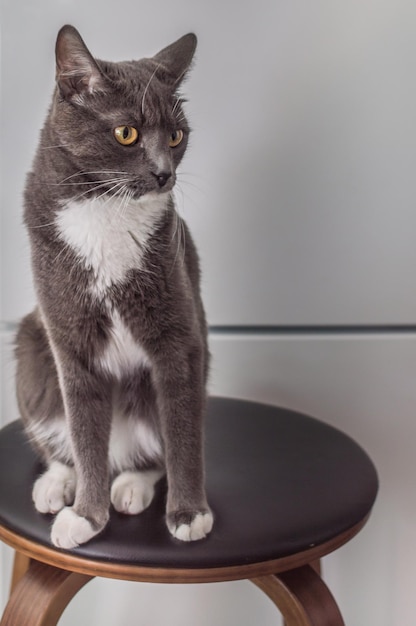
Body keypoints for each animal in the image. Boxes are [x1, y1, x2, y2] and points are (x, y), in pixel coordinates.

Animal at [14, 25, 213, 544]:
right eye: (127, 133)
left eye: (176, 136)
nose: (165, 173)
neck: (106, 207)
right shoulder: (69, 342)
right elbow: (85, 431)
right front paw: (86, 515)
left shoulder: (181, 337)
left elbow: (183, 432)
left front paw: (189, 514)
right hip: (31, 349)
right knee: (66, 440)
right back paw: (58, 485)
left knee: (153, 448)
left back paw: (130, 485)